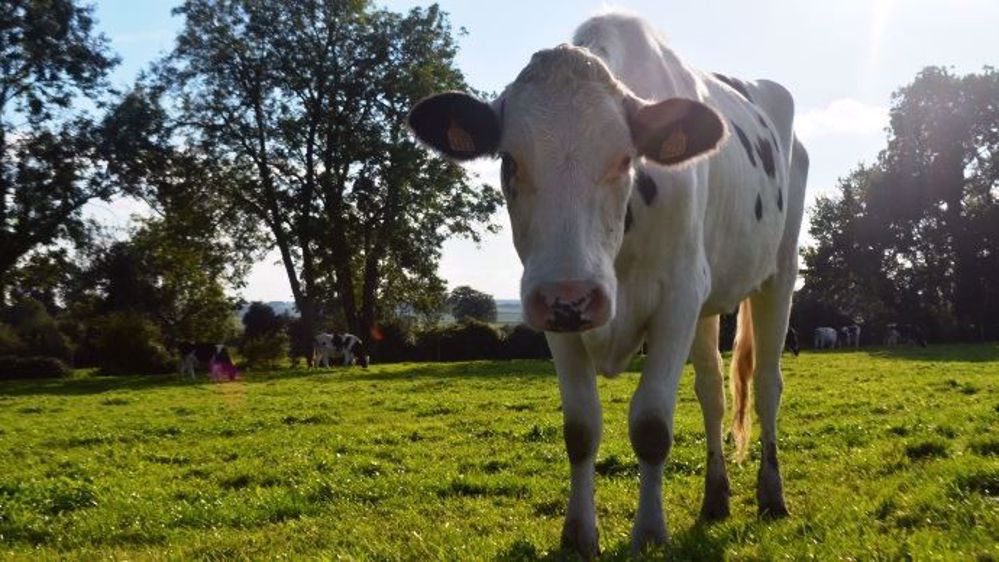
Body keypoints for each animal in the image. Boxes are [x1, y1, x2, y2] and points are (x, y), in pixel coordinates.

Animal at [408, 13, 807, 556]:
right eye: (510, 160)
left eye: (625, 160)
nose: (572, 296)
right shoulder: (554, 310)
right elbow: (580, 429)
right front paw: (578, 534)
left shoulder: (677, 298)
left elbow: (652, 426)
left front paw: (650, 533)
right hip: (705, 301)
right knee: (712, 392)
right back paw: (715, 498)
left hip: (779, 270)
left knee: (767, 383)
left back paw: (771, 495)